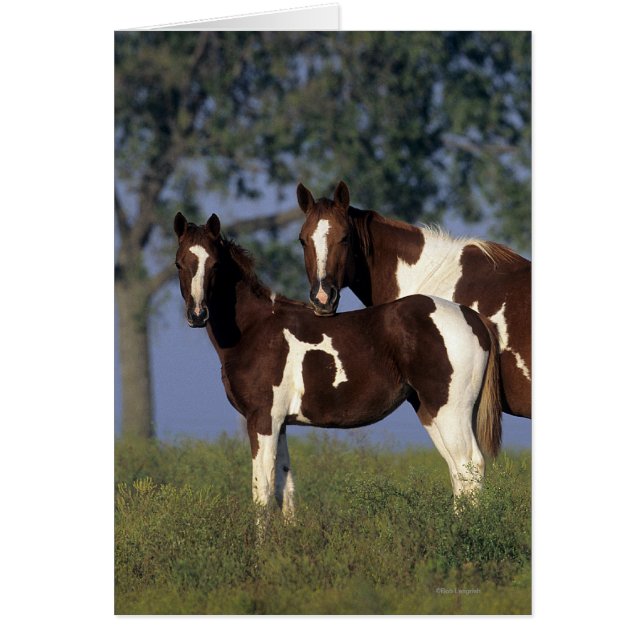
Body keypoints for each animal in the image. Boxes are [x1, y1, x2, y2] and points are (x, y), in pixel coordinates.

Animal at [173, 212, 502, 519]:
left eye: (215, 264)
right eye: (179, 263)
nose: (198, 314)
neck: (256, 328)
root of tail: (473, 318)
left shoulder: (262, 419)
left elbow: (262, 492)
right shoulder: (280, 423)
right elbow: (284, 490)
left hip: (450, 410)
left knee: (470, 465)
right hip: (431, 411)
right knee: (458, 472)